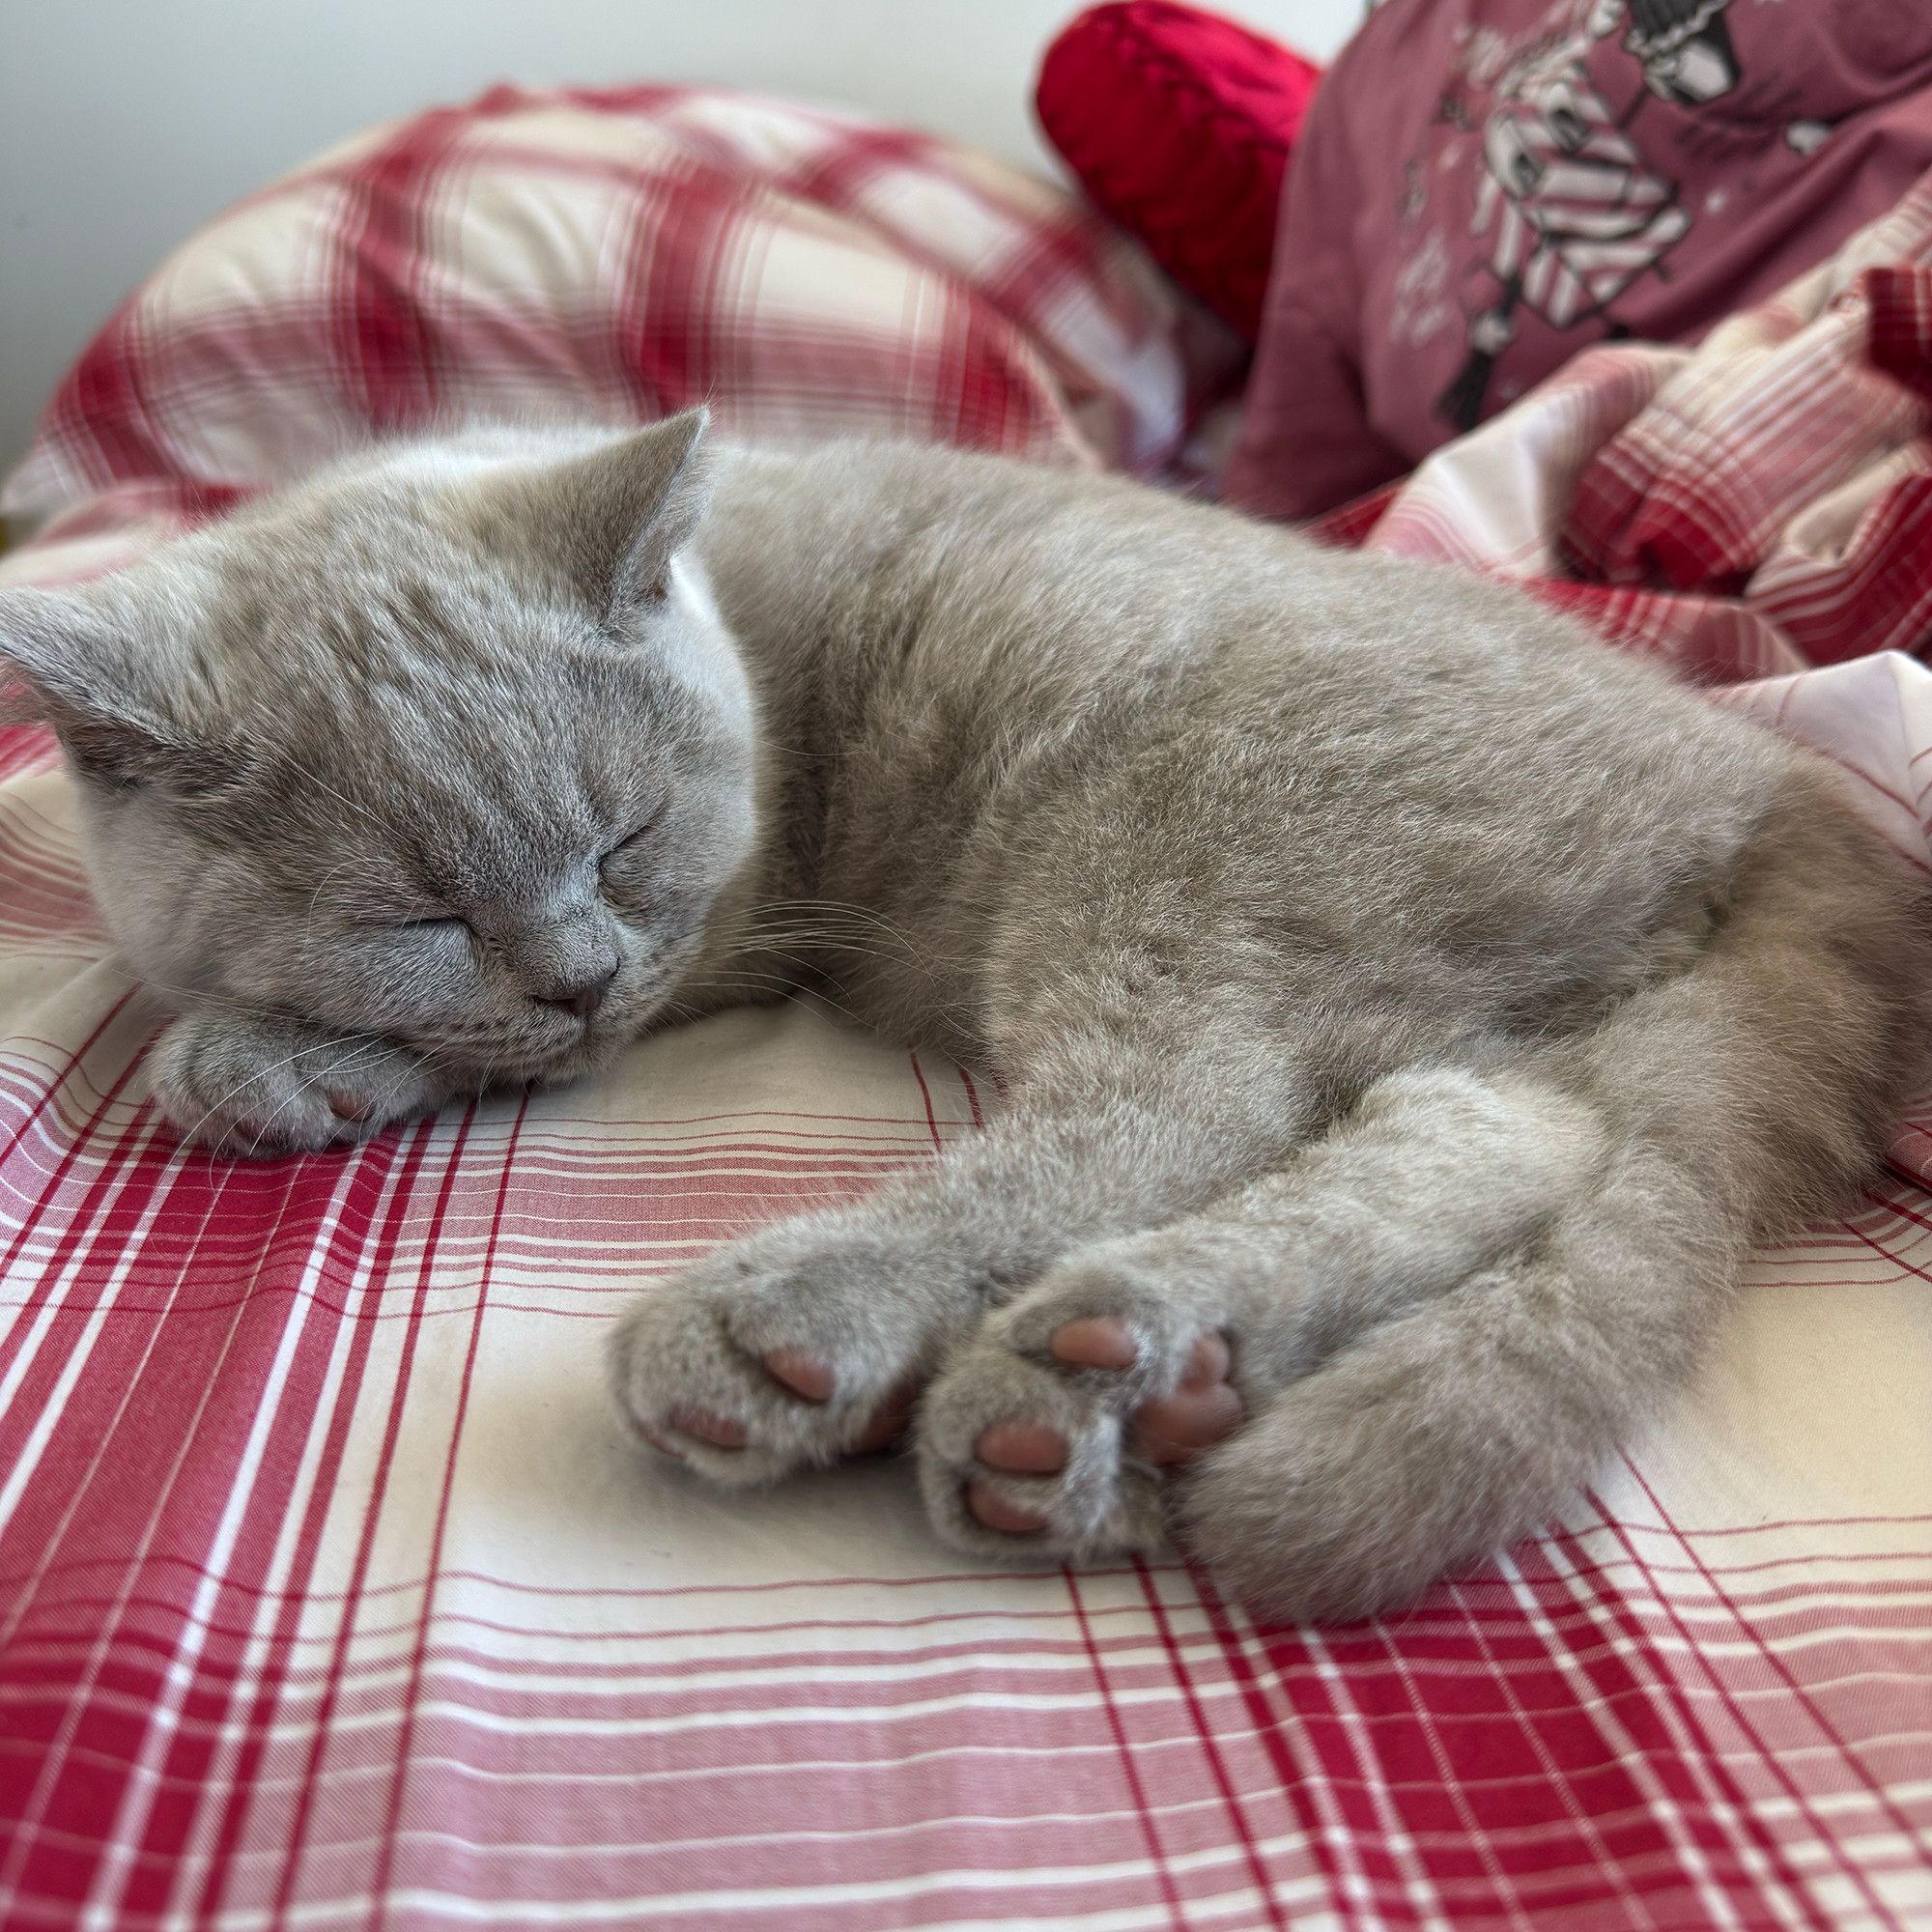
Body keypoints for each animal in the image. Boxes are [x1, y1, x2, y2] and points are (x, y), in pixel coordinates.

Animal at [7, 415, 1924, 1623]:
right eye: (422, 914)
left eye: (624, 840)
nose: (574, 969)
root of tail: (1766, 780)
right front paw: (279, 1055)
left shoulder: (739, 912)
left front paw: (254, 1059)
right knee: (1495, 1126)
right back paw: (1153, 1380)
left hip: (1175, 826)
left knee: (1189, 1109)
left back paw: (867, 1342)